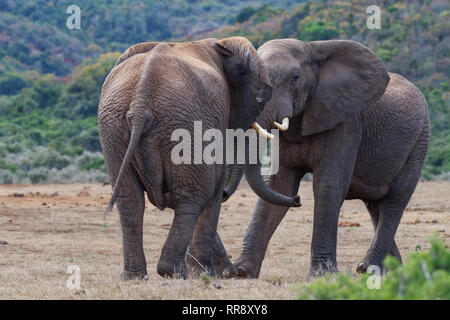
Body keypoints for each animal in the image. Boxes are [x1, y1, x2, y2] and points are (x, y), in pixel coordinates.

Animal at [97, 36, 298, 278]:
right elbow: (213, 189)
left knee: (130, 200)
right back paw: (175, 272)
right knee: (191, 197)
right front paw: (210, 274)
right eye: (260, 99)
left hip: (114, 128)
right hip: (183, 126)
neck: (220, 45)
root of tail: (140, 102)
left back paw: (136, 276)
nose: (298, 200)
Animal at [220, 38, 430, 278]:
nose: (298, 200)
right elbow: (279, 186)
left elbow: (327, 187)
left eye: (295, 78)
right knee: (375, 204)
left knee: (395, 200)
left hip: (419, 143)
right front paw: (241, 271)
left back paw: (368, 269)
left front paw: (323, 275)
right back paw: (391, 271)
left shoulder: (345, 123)